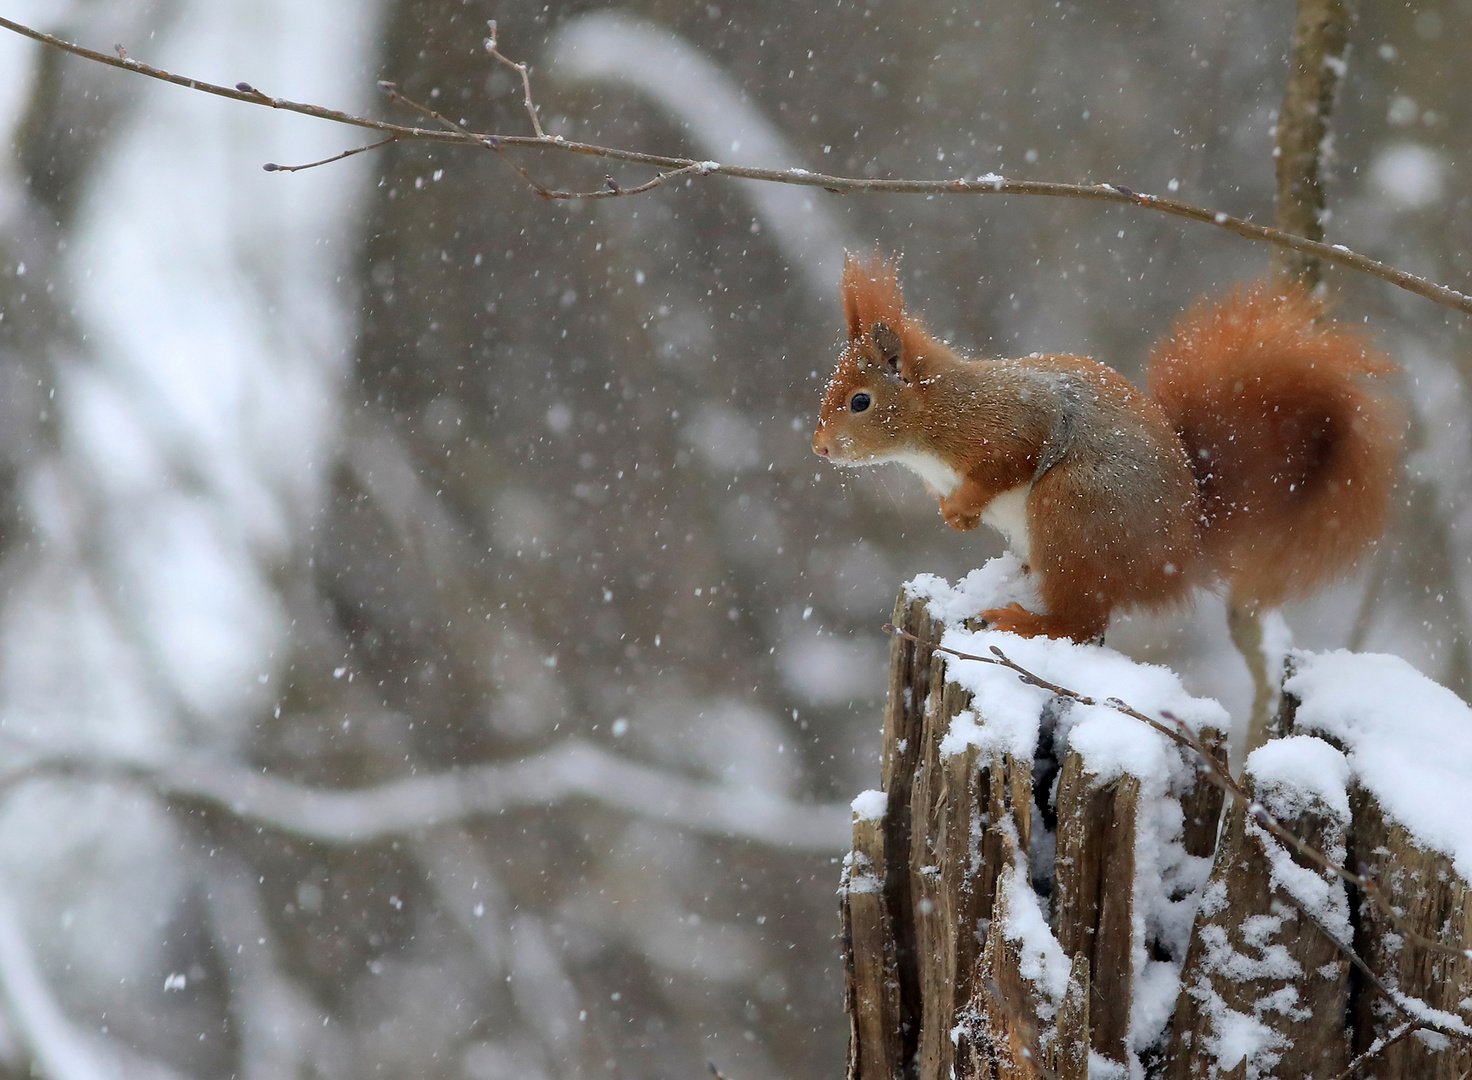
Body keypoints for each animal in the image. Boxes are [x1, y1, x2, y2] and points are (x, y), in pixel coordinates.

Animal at [818, 253, 1401, 641]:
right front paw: (953, 513)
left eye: (861, 401)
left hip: (1074, 508)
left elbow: (1009, 461)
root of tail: (1179, 557)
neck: (937, 416)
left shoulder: (1012, 423)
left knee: (1081, 621)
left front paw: (964, 505)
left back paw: (1022, 620)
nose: (820, 448)